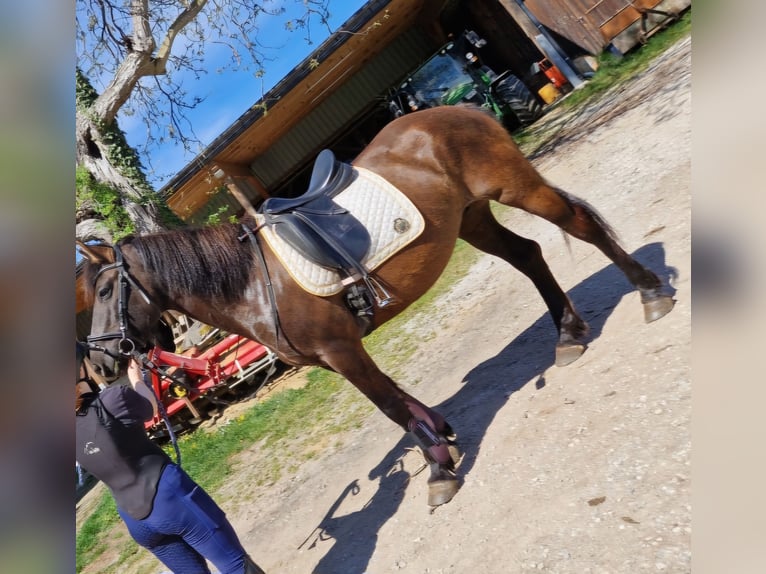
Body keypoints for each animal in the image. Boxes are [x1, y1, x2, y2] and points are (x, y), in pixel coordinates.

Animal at [81, 104, 676, 508]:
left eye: (106, 292)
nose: (105, 364)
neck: (253, 283)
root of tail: (460, 109)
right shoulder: (337, 357)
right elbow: (400, 399)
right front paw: (441, 438)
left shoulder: (340, 351)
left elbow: (390, 406)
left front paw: (439, 471)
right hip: (474, 218)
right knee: (529, 255)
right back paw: (569, 334)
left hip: (515, 189)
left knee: (580, 227)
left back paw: (651, 292)